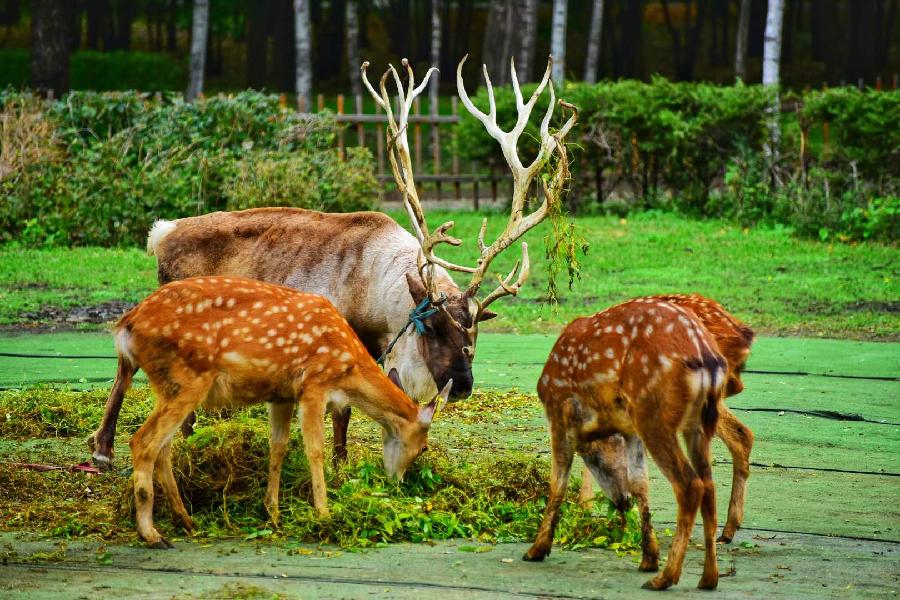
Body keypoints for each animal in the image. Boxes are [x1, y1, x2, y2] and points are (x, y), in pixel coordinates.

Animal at [87, 54, 577, 474]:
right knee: (126, 357)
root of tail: (162, 234)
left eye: (475, 328)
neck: (378, 298)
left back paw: (183, 435)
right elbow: (339, 409)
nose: (462, 383)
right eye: (433, 326)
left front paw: (342, 461)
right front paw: (335, 465)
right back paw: (103, 449)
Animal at [108, 275, 449, 549]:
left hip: (167, 385)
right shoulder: (313, 384)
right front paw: (324, 513)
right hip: (188, 378)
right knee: (143, 441)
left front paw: (272, 512)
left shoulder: (281, 394)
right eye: (423, 447)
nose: (398, 483)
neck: (348, 367)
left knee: (161, 447)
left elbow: (279, 447)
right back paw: (151, 534)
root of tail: (126, 324)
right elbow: (314, 449)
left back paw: (185, 521)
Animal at [523, 297, 727, 591]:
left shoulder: (558, 410)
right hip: (696, 425)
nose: (621, 502)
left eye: (597, 461)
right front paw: (648, 558)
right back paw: (708, 578)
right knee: (709, 486)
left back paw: (665, 578)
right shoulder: (631, 431)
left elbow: (557, 484)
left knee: (691, 485)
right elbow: (640, 484)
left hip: (654, 414)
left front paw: (537, 549)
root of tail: (706, 354)